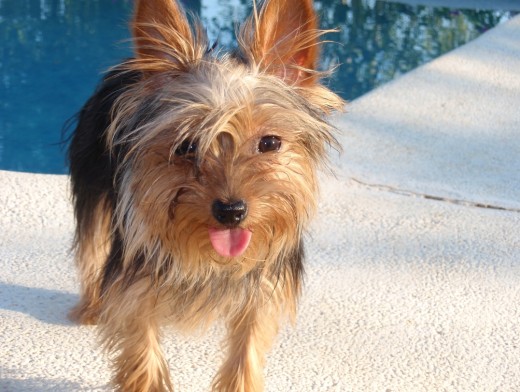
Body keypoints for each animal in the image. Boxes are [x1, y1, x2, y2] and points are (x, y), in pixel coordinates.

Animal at [68, 0, 346, 388]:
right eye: (186, 146)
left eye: (269, 143)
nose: (231, 211)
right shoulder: (134, 288)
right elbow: (143, 353)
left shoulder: (261, 293)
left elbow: (245, 355)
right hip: (93, 185)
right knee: (92, 245)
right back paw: (92, 306)